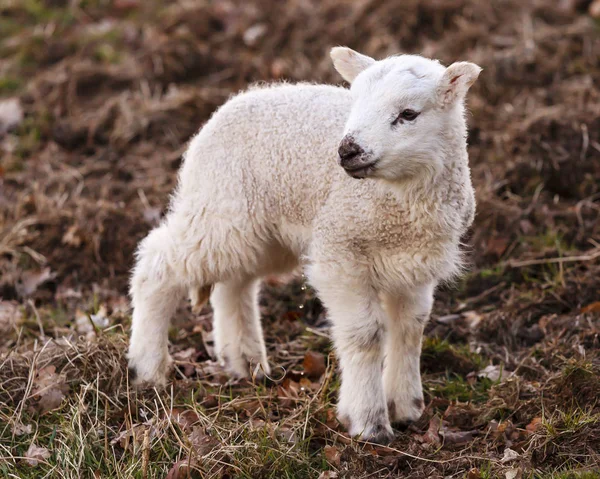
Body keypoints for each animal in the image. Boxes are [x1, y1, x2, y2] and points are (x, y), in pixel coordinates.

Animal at [127, 48, 482, 446]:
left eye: (408, 114)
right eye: (355, 102)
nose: (348, 150)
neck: (399, 202)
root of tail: (231, 104)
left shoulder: (415, 264)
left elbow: (410, 328)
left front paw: (407, 408)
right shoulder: (339, 252)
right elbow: (366, 335)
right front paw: (369, 422)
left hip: (261, 233)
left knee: (234, 284)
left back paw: (246, 363)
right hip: (221, 209)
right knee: (158, 264)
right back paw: (148, 368)